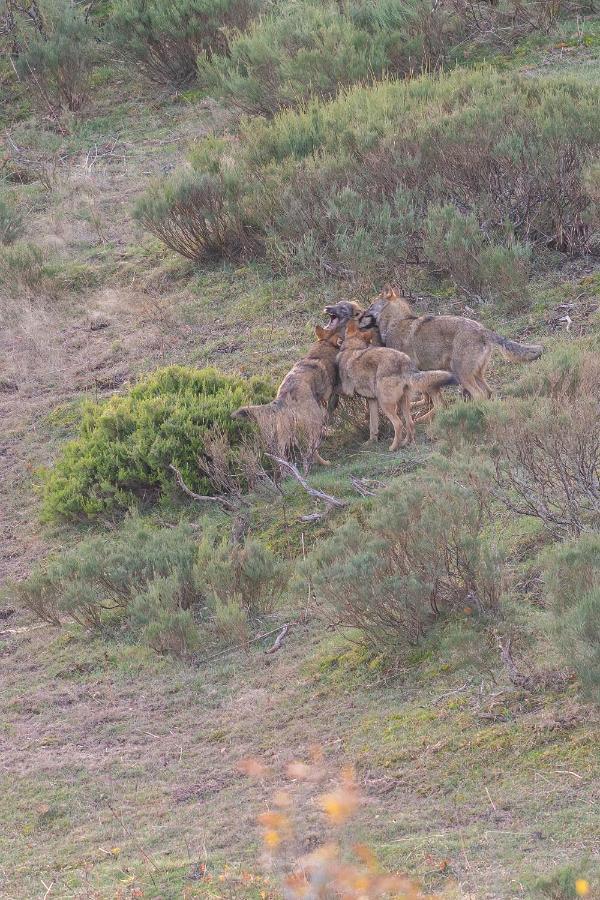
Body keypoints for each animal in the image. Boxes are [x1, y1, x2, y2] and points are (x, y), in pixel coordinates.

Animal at [236, 324, 346, 472]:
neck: (325, 343)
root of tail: (283, 396)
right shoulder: (333, 394)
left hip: (284, 434)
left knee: (282, 456)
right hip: (314, 422)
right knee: (311, 449)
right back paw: (323, 463)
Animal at [336, 322, 458, 454]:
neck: (352, 348)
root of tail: (404, 362)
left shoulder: (348, 391)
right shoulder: (372, 400)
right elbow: (373, 425)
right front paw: (370, 442)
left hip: (386, 404)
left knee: (399, 424)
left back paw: (393, 447)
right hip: (402, 402)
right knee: (410, 424)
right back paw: (405, 443)